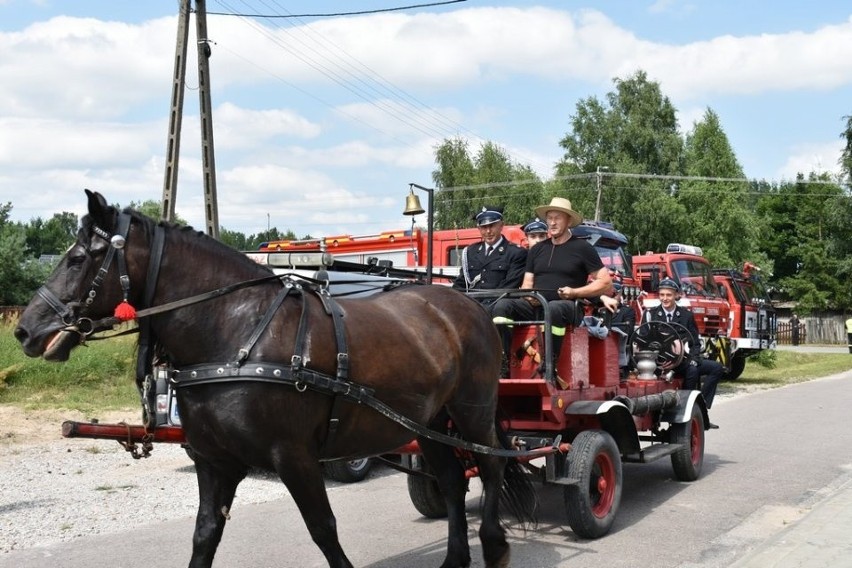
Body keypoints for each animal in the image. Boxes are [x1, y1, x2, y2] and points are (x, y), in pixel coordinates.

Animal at [15, 192, 532, 568]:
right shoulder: (214, 461)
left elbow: (324, 529)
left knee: (490, 467)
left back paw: (495, 546)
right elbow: (205, 535)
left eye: (81, 257)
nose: (25, 329)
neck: (235, 331)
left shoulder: (295, 457)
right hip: (428, 423)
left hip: (472, 411)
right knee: (453, 480)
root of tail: (466, 303)